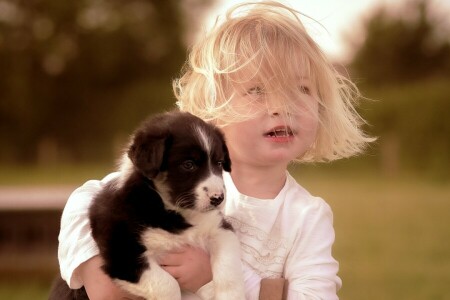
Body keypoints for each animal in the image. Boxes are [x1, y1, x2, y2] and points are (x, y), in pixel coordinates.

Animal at [49, 111, 244, 298]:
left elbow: (228, 269)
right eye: (188, 164)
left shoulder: (219, 228)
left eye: (219, 163)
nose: (218, 198)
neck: (171, 211)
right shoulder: (123, 256)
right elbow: (168, 285)